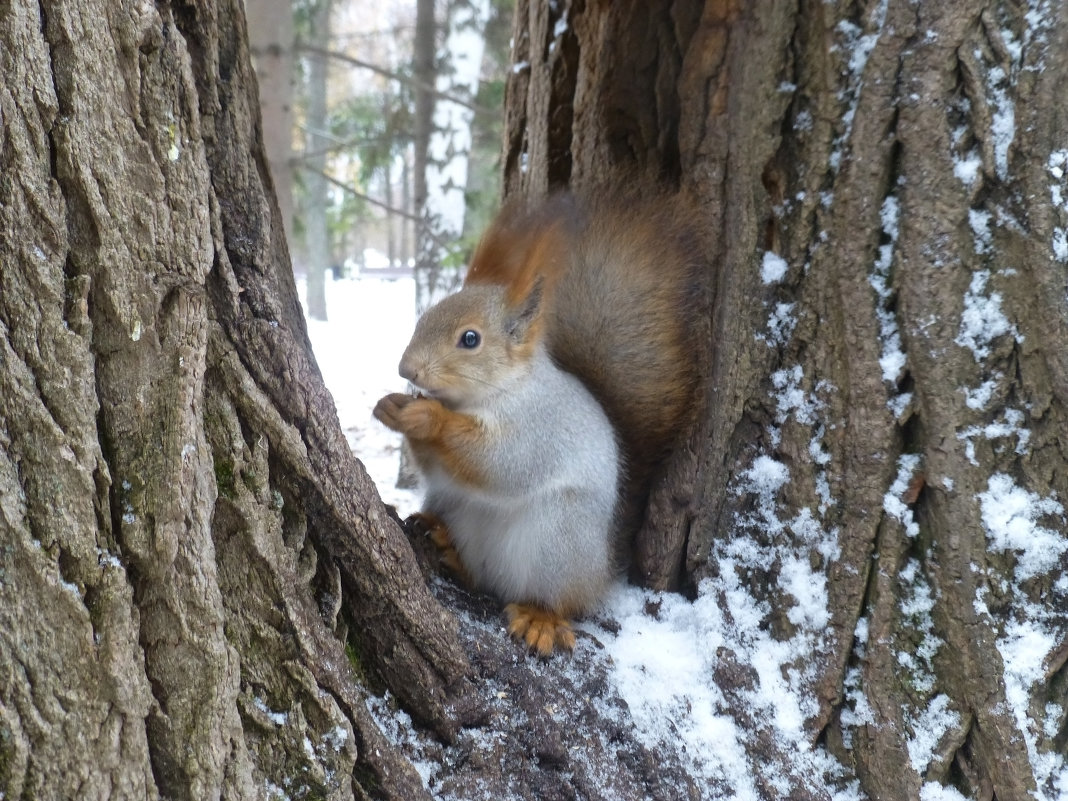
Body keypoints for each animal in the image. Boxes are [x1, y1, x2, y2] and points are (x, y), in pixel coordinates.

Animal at [371, 187, 704, 657]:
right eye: (423, 318)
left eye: (470, 339)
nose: (407, 369)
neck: (483, 396)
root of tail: (600, 570)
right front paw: (392, 407)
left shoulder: (540, 427)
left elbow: (502, 463)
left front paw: (426, 417)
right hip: (455, 506)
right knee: (478, 574)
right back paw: (445, 543)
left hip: (559, 538)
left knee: (557, 598)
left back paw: (540, 618)